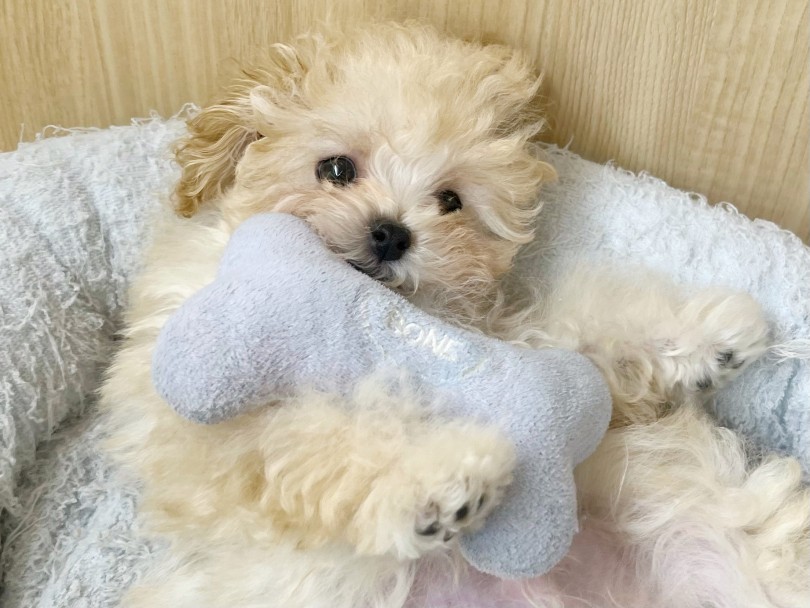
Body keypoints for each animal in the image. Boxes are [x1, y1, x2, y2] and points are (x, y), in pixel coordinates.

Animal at [101, 22, 810, 608]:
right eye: (336, 168)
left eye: (449, 201)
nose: (390, 233)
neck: (385, 318)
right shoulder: (211, 419)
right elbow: (324, 435)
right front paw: (437, 481)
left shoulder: (500, 341)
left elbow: (577, 337)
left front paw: (710, 335)